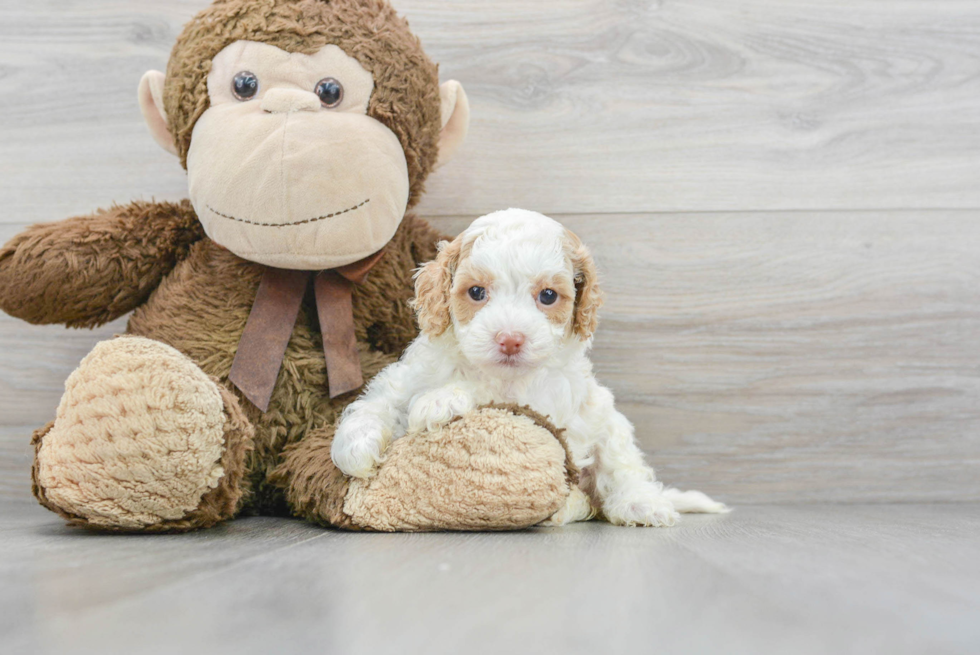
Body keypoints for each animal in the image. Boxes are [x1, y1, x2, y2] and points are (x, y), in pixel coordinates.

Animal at [334, 210, 724, 528]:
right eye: (476, 292)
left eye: (548, 296)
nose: (510, 340)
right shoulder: (407, 376)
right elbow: (377, 402)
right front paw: (355, 448)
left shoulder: (541, 400)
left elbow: (483, 392)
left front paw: (439, 401)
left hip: (608, 422)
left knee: (621, 468)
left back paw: (637, 504)